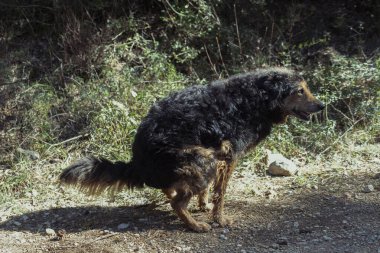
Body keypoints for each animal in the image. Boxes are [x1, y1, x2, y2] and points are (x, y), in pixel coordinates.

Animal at [59, 67, 324, 231]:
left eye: (306, 88)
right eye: (299, 91)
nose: (322, 106)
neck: (257, 98)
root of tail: (138, 163)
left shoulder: (220, 155)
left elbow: (209, 192)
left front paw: (203, 204)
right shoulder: (228, 157)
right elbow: (220, 194)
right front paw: (219, 219)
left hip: (198, 162)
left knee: (171, 191)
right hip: (201, 159)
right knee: (176, 203)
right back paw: (195, 226)